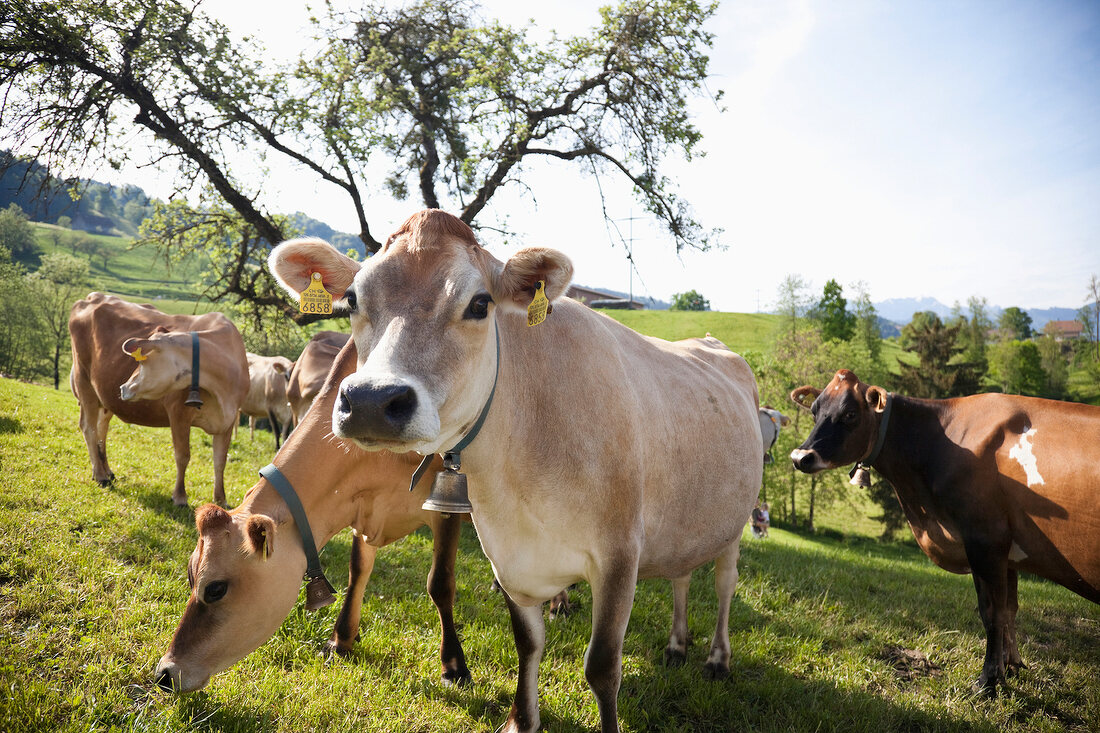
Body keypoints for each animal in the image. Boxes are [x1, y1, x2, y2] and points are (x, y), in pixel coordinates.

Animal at [68, 290, 249, 501]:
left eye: (141, 361)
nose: (123, 387)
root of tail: (93, 296)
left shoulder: (228, 420)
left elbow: (220, 461)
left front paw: (221, 500)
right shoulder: (178, 412)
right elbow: (183, 455)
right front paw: (180, 497)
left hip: (104, 397)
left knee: (101, 428)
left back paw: (107, 471)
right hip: (84, 381)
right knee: (88, 428)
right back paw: (100, 475)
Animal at [151, 336, 473, 691]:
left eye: (215, 588)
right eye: (190, 576)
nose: (165, 672)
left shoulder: (447, 501)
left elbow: (440, 582)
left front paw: (454, 667)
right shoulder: (363, 502)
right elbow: (358, 569)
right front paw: (341, 639)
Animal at [268, 206, 765, 730]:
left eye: (479, 304)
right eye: (351, 299)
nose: (370, 401)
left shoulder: (619, 554)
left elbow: (602, 666)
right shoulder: (506, 555)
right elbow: (528, 643)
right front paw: (521, 719)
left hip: (734, 522)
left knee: (725, 583)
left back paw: (717, 658)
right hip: (685, 523)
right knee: (682, 576)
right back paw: (676, 646)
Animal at [792, 367, 1100, 695]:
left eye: (850, 414)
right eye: (814, 411)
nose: (800, 457)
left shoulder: (984, 539)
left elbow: (992, 612)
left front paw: (989, 681)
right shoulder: (1008, 550)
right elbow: (1010, 609)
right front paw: (1012, 666)